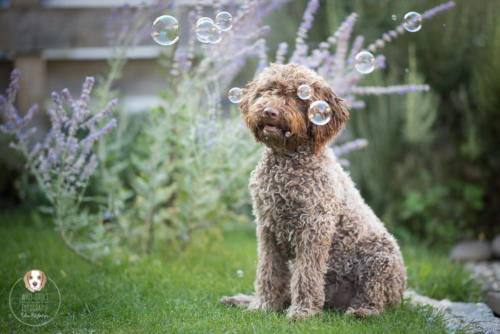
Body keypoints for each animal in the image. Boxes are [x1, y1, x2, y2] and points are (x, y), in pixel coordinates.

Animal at [219, 64, 406, 320]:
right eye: (269, 89)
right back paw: (240, 300)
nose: (269, 112)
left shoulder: (314, 227)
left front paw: (302, 312)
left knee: (374, 298)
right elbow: (268, 272)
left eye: (299, 96)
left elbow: (306, 275)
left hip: (379, 260)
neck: (287, 161)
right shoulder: (267, 228)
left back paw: (361, 311)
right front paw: (263, 306)